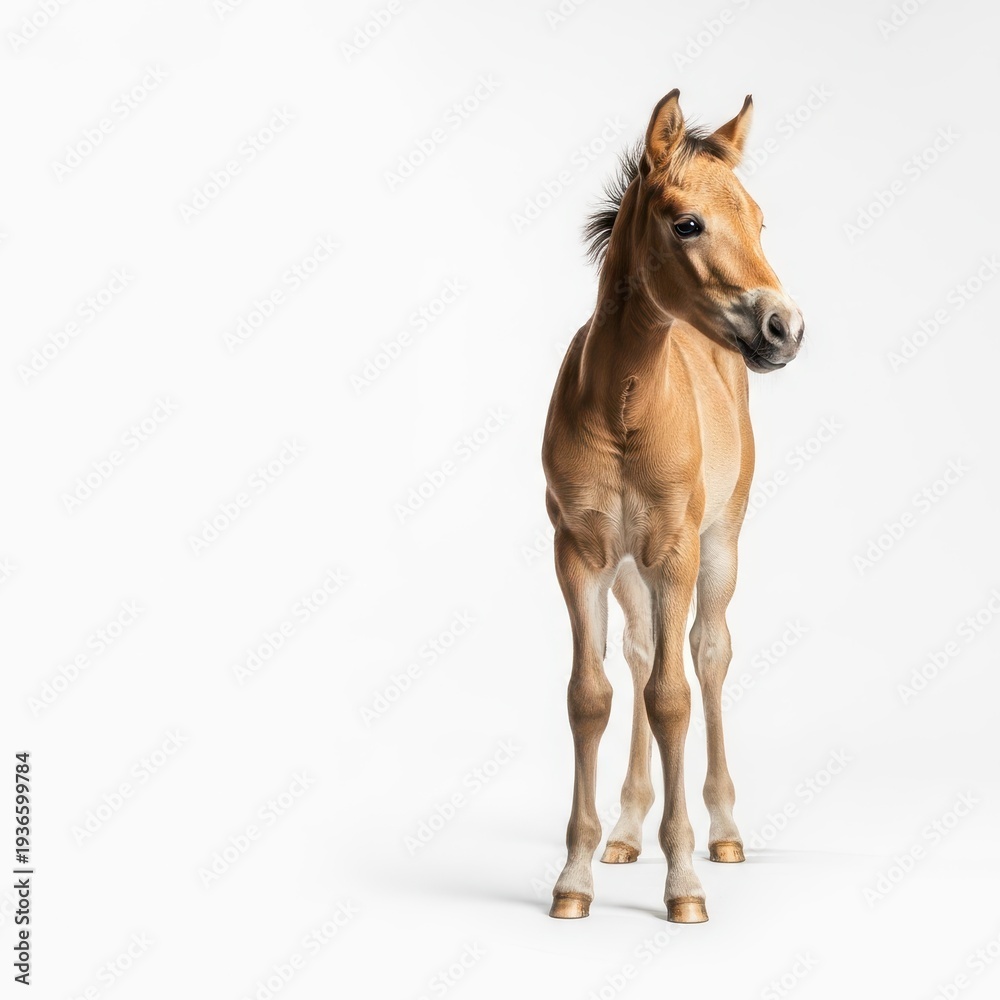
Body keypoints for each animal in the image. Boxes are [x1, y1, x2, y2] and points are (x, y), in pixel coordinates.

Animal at [541, 89, 804, 923]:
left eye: (759, 220)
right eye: (687, 223)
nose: (785, 327)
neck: (625, 404)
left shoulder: (676, 549)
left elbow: (673, 698)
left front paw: (684, 880)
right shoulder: (579, 551)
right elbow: (591, 695)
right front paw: (575, 876)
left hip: (718, 546)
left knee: (707, 654)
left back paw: (723, 832)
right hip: (631, 570)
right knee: (639, 651)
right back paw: (627, 831)